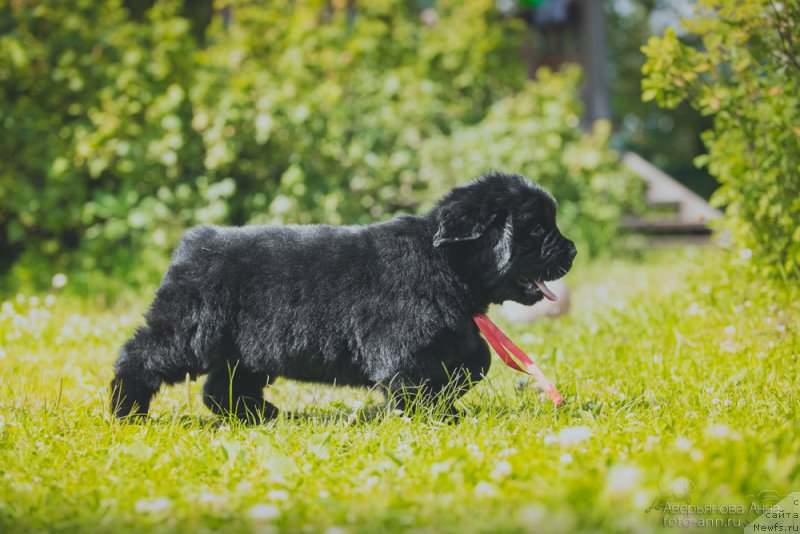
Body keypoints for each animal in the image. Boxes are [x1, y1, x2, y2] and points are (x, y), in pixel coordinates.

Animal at [112, 174, 576, 426]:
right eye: (537, 230)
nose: (571, 251)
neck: (442, 262)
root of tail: (193, 242)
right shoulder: (403, 343)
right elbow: (417, 379)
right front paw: (435, 416)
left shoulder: (455, 330)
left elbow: (476, 361)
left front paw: (449, 399)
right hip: (187, 330)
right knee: (139, 355)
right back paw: (125, 410)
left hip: (245, 348)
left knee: (222, 388)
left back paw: (260, 416)